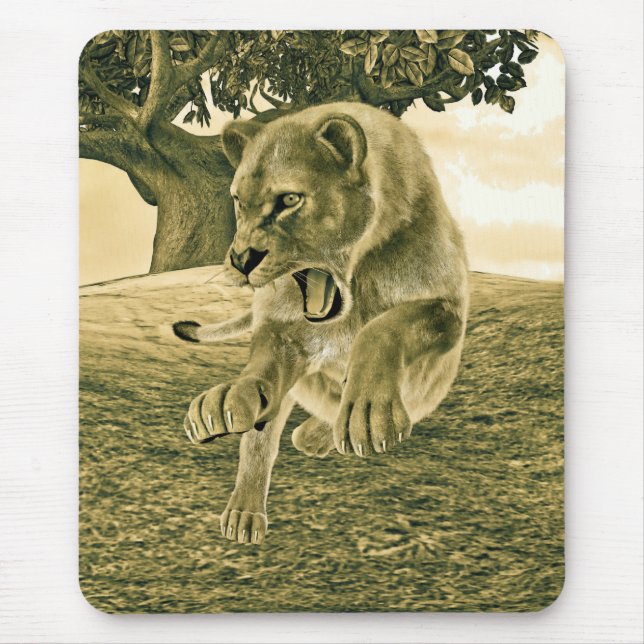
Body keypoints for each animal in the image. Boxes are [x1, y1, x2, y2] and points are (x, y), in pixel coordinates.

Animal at [173, 102, 469, 545]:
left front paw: (367, 413)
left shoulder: (447, 310)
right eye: (239, 201)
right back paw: (244, 512)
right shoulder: (281, 328)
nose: (241, 260)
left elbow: (383, 327)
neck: (356, 282)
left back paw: (316, 433)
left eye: (289, 199)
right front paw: (228, 400)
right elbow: (262, 380)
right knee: (262, 438)